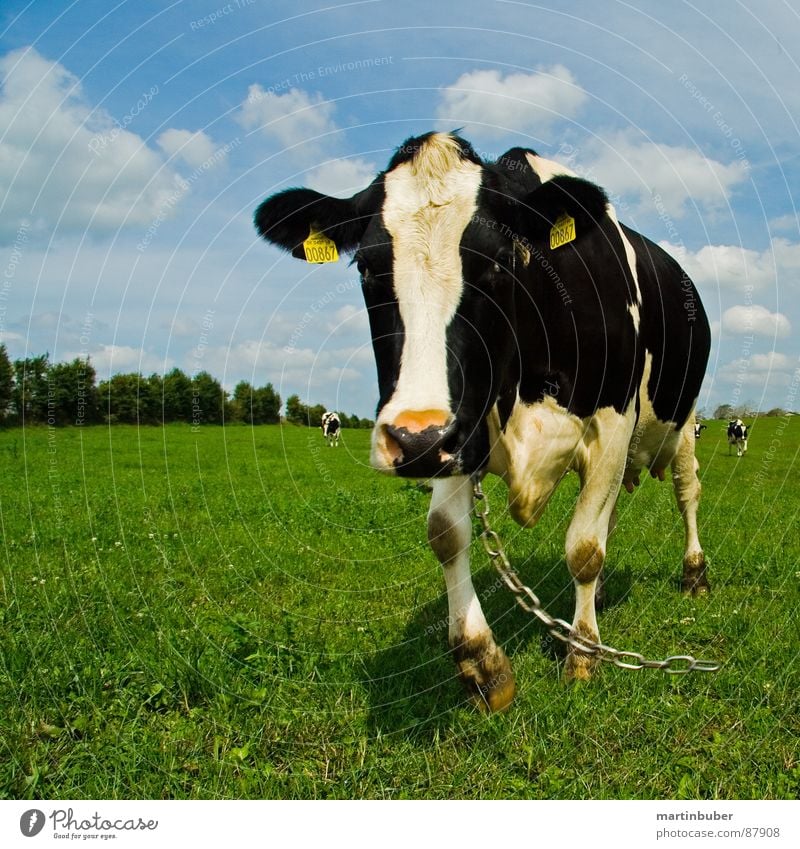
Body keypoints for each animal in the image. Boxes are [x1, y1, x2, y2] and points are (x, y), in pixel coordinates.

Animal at [253, 132, 708, 712]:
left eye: (497, 262)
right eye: (367, 268)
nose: (413, 440)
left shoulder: (611, 423)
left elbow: (583, 548)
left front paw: (582, 655)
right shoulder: (459, 428)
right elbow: (448, 535)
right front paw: (481, 662)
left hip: (684, 418)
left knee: (685, 491)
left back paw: (693, 573)